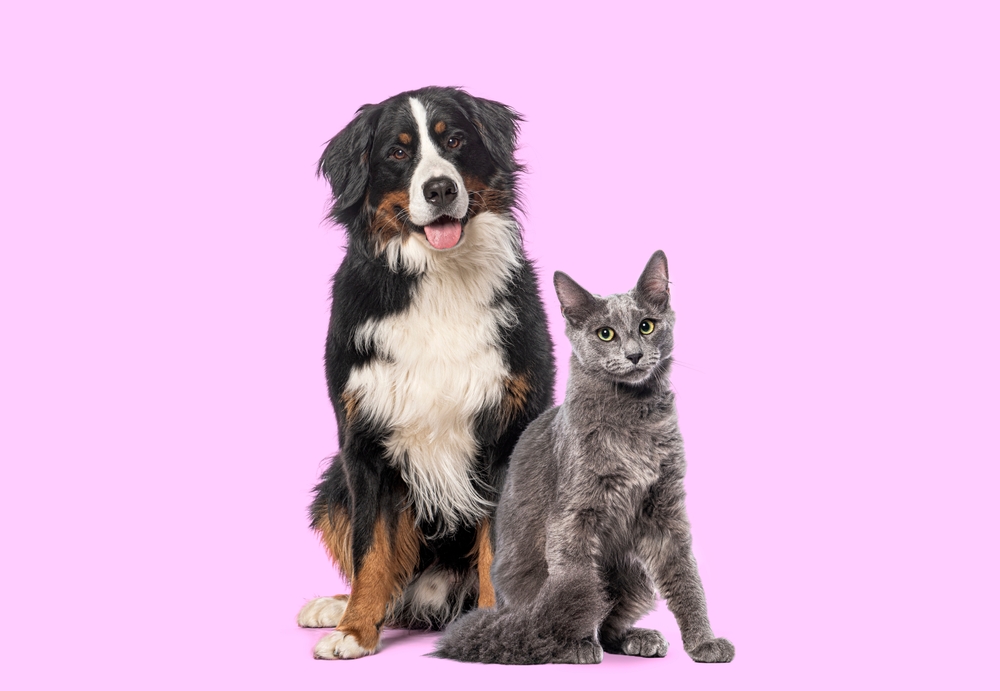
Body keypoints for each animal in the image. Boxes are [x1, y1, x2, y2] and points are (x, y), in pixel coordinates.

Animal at [296, 86, 556, 660]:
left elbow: (496, 550)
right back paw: (335, 606)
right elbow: (371, 550)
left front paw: (494, 626)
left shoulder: (506, 435)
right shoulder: (364, 442)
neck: (440, 280)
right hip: (332, 487)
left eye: (454, 140)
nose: (439, 188)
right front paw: (354, 629)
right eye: (398, 152)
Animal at [432, 250, 736, 664]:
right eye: (605, 334)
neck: (632, 419)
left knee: (611, 623)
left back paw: (637, 639)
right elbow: (576, 577)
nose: (634, 354)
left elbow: (686, 577)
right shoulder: (574, 514)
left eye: (647, 326)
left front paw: (704, 641)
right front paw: (576, 644)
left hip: (633, 573)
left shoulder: (666, 509)